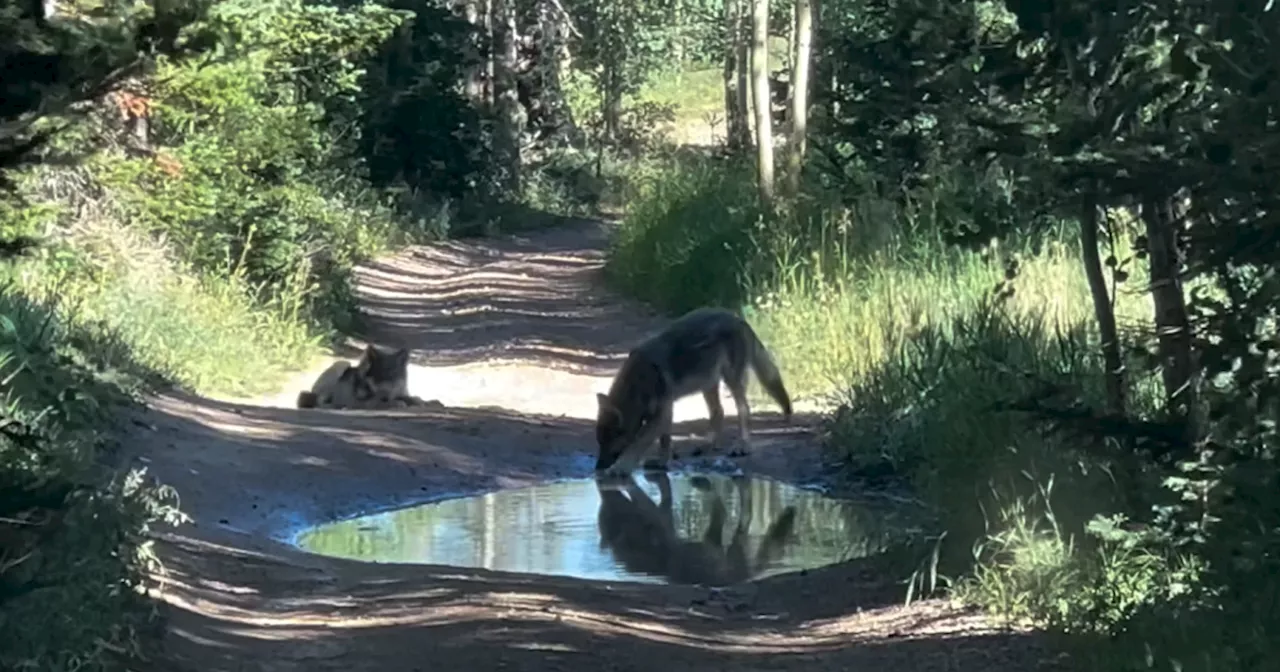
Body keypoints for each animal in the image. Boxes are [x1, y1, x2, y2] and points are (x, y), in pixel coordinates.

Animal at [294, 345, 430, 409]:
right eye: (378, 377)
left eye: (392, 377)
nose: (385, 397)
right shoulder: (367, 401)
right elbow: (380, 402)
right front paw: (396, 403)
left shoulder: (400, 392)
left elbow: (413, 398)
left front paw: (418, 401)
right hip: (342, 364)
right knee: (319, 401)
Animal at [596, 305, 793, 473]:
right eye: (599, 443)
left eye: (609, 444)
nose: (597, 468)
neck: (639, 383)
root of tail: (737, 319)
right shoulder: (665, 412)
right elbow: (665, 441)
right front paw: (662, 462)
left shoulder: (661, 414)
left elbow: (637, 445)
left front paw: (620, 468)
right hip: (707, 384)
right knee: (718, 412)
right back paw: (707, 445)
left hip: (731, 381)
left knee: (743, 409)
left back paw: (742, 446)